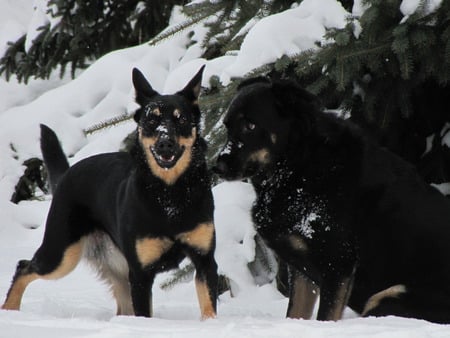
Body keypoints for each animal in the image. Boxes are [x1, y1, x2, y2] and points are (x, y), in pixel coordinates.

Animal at [0, 66, 218, 320]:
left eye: (181, 118)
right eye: (151, 119)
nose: (165, 143)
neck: (170, 194)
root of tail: (66, 174)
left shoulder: (204, 260)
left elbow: (208, 305)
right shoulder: (140, 273)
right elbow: (144, 314)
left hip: (115, 266)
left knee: (122, 306)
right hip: (61, 252)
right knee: (23, 266)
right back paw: (11, 309)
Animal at [213, 76, 450, 322]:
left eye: (250, 125)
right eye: (227, 126)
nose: (216, 167)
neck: (299, 163)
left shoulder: (336, 264)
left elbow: (325, 316)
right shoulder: (302, 271)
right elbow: (295, 313)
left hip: (388, 297)